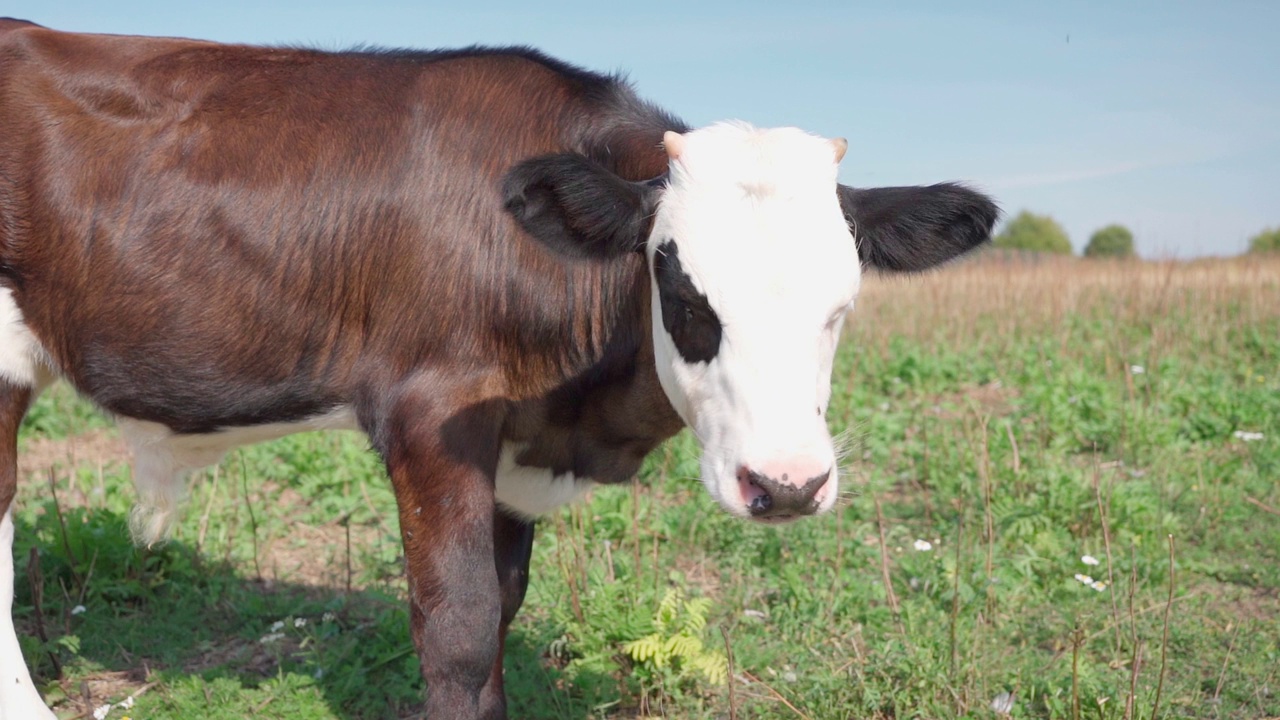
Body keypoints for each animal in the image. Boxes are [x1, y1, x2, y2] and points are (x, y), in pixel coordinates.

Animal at [0, 18, 998, 717]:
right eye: (681, 288)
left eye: (843, 304)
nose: (786, 484)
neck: (582, 422)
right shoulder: (432, 412)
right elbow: (460, 628)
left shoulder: (520, 441)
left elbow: (504, 607)